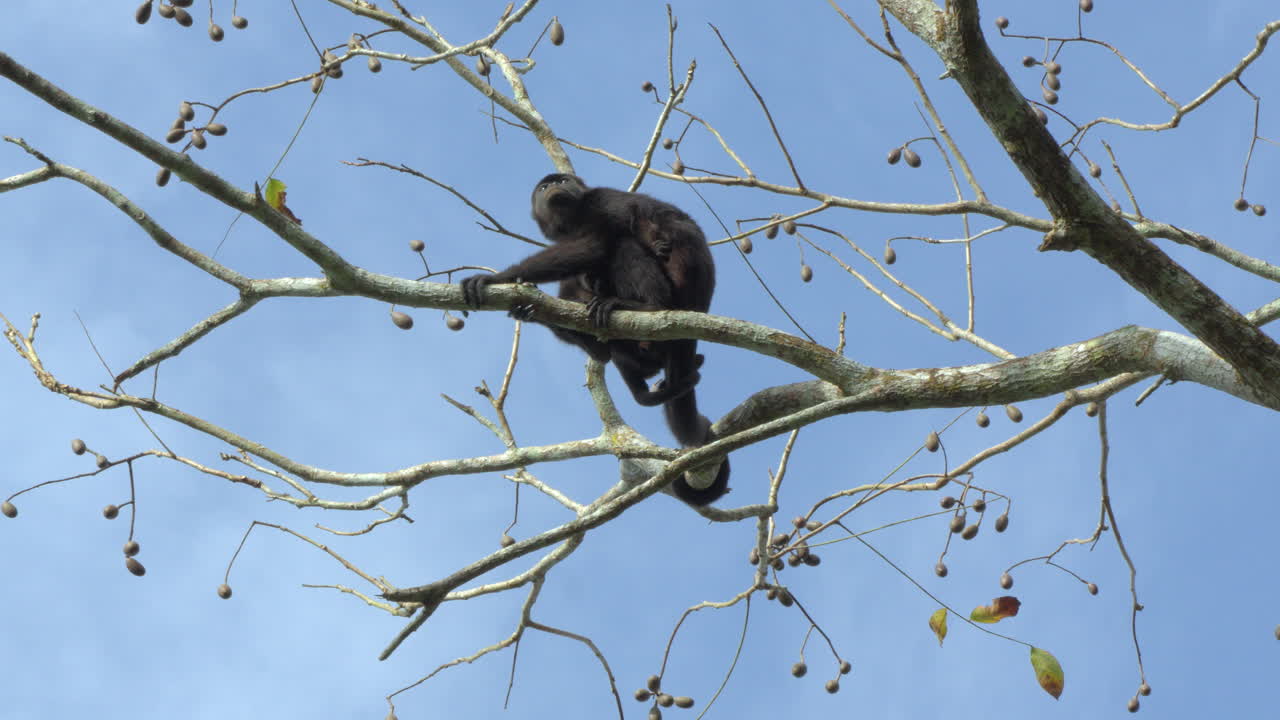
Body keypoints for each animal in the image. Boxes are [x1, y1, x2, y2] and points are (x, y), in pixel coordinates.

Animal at [460, 173, 729, 505]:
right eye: (543, 188)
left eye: (563, 181)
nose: (554, 187)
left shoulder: (602, 202)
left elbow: (596, 245)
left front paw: (497, 278)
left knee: (623, 245)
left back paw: (648, 307)